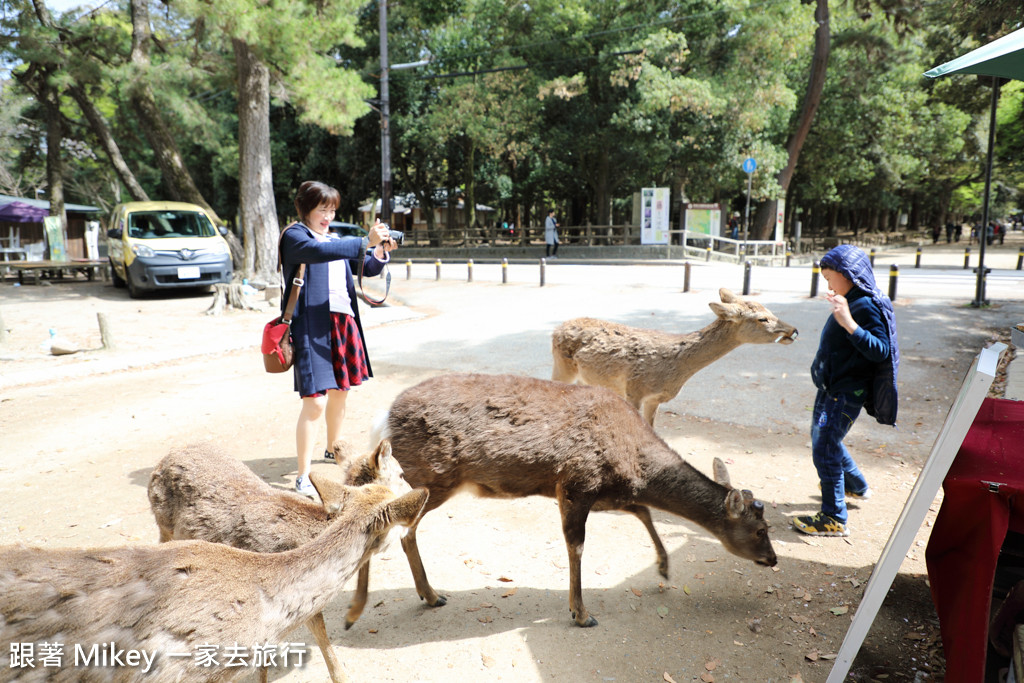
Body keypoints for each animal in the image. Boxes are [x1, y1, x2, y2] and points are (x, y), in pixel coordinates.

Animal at [352, 374, 774, 630]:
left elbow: (643, 511)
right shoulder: (576, 482)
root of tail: (383, 421)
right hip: (430, 479)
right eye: (760, 530)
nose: (772, 559)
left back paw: (427, 595)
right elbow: (577, 546)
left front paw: (664, 567)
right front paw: (582, 613)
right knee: (391, 527)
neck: (635, 466)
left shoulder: (609, 494)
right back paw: (407, 598)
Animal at [552, 288, 798, 428]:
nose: (793, 331)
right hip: (562, 367)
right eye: (762, 318)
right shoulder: (634, 390)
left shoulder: (655, 399)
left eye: (770, 310)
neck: (675, 369)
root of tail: (556, 329)